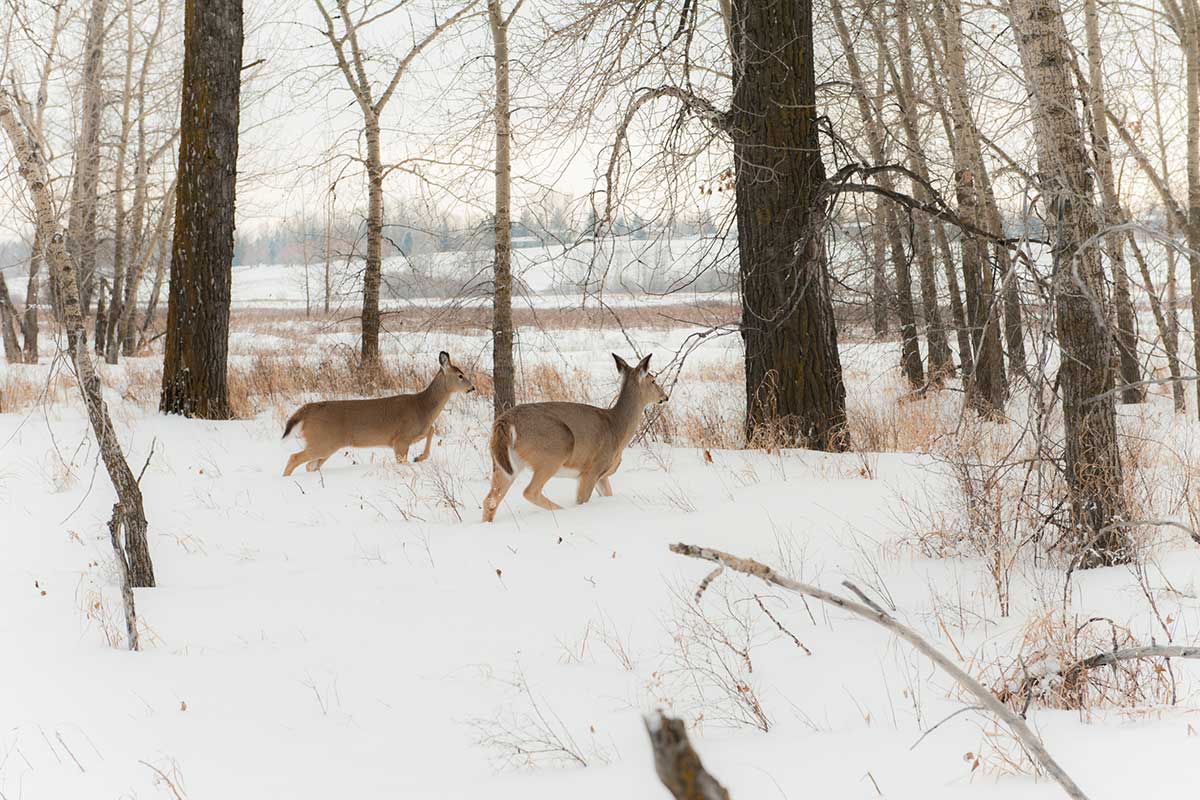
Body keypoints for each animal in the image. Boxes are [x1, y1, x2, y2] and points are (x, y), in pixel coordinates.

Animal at [283, 350, 475, 474]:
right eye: (460, 375)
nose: (472, 388)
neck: (423, 408)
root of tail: (307, 410)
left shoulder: (412, 435)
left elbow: (431, 430)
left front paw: (419, 457)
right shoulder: (401, 440)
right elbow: (404, 462)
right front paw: (414, 463)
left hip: (325, 445)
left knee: (310, 466)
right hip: (322, 441)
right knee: (294, 458)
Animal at [480, 352, 672, 522]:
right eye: (653, 380)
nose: (665, 397)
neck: (617, 428)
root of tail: (506, 420)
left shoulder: (603, 475)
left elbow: (608, 494)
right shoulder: (593, 468)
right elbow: (582, 500)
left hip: (504, 464)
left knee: (490, 500)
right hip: (554, 450)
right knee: (529, 492)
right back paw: (562, 511)